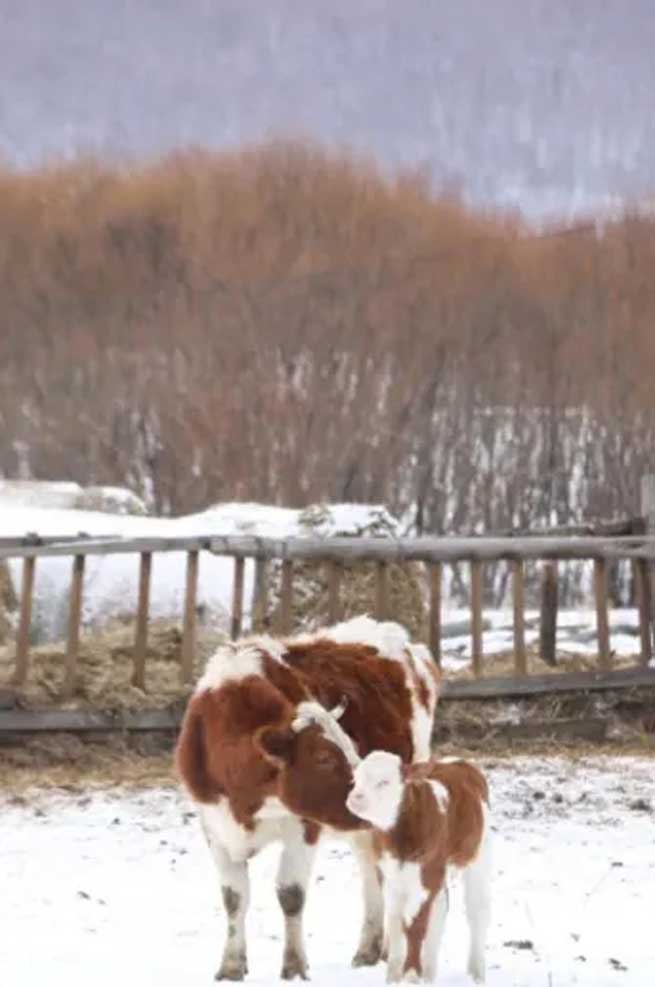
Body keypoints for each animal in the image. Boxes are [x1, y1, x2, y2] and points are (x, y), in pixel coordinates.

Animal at [174, 616, 439, 981]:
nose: (362, 794)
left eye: (351, 746)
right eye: (323, 758)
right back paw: (370, 949)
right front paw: (230, 966)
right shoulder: (214, 825)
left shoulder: (303, 825)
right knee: (371, 871)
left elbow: (291, 894)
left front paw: (295, 965)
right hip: (362, 831)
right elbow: (234, 897)